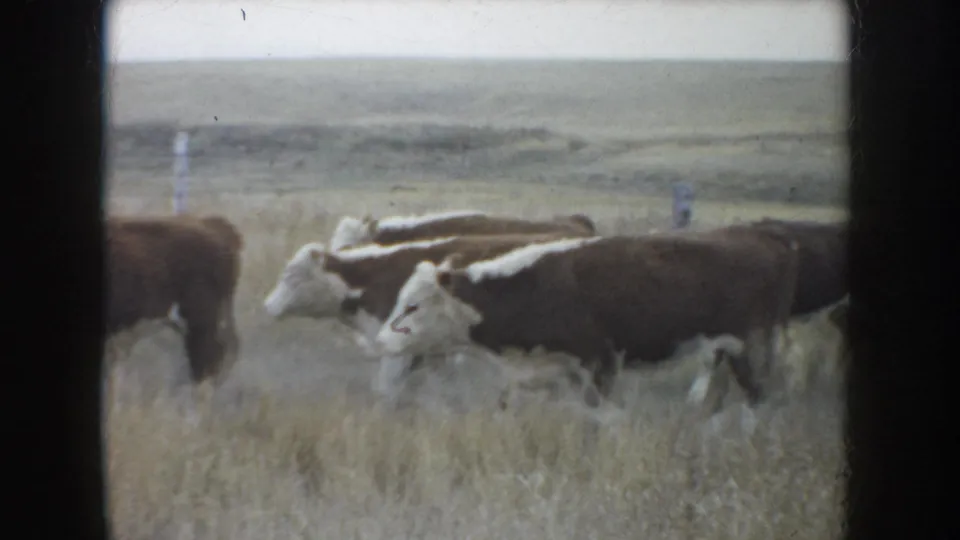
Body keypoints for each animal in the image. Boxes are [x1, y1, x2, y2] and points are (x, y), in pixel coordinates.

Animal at [374, 229, 800, 415]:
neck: (531, 287)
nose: (381, 341)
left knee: (756, 398)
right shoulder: (550, 370)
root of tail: (766, 242)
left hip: (746, 346)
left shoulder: (600, 364)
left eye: (413, 305)